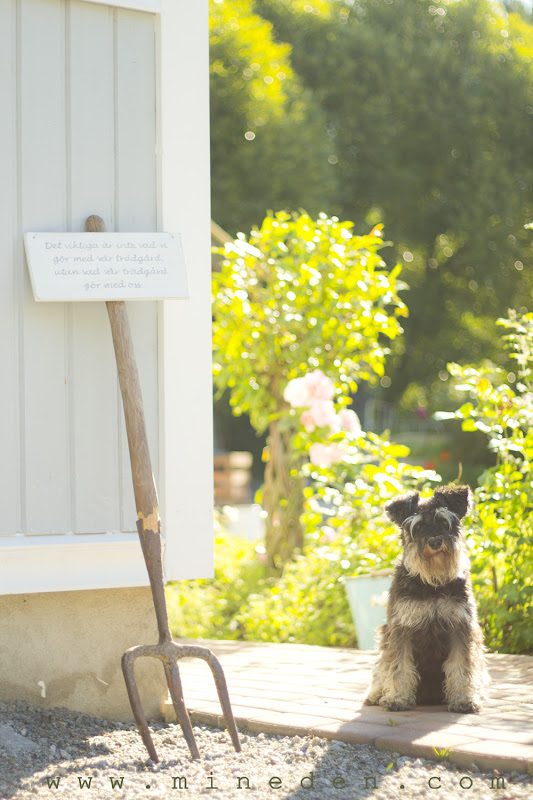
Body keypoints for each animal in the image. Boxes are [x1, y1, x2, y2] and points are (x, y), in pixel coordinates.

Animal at [364, 482, 488, 712]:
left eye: (444, 522)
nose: (436, 542)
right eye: (418, 527)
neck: (433, 583)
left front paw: (464, 700)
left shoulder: (460, 627)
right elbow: (399, 667)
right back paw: (376, 695)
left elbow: (461, 667)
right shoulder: (401, 628)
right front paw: (397, 698)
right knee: (381, 671)